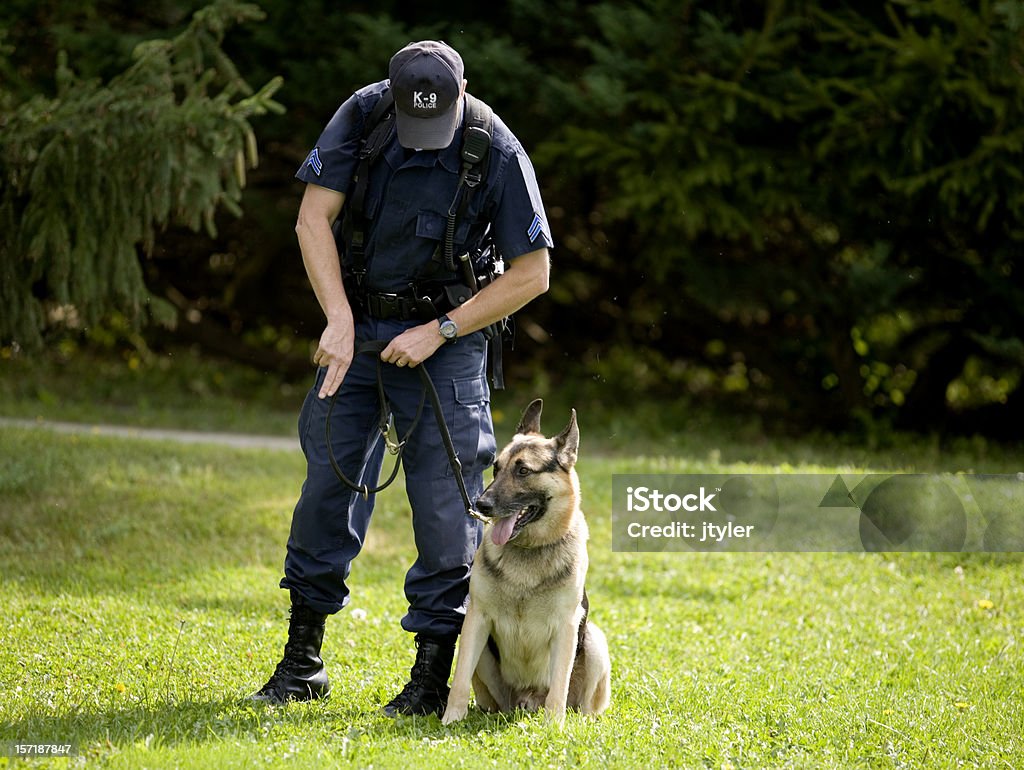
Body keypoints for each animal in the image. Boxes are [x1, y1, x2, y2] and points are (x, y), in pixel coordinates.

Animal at [440, 399, 606, 724]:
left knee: (579, 703)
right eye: (496, 468)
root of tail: (527, 700)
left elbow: (559, 686)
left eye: (524, 471)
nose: (481, 505)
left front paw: (554, 726)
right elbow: (460, 678)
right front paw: (451, 719)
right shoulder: (476, 619)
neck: (529, 549)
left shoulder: (567, 626)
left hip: (594, 641)